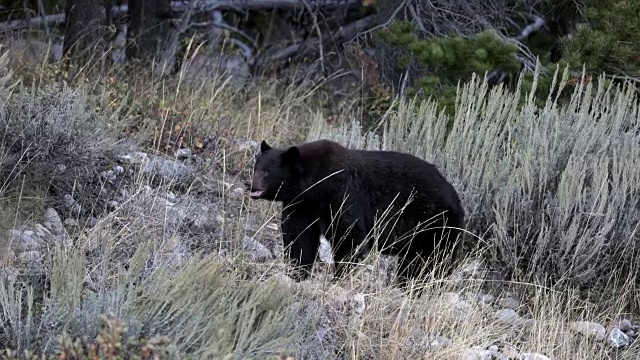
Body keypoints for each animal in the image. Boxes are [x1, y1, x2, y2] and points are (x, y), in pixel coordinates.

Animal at [250, 139, 464, 286]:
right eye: (255, 167)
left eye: (267, 171)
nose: (251, 186)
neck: (314, 185)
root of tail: (457, 199)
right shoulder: (301, 205)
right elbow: (299, 236)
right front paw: (296, 273)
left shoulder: (342, 193)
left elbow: (349, 234)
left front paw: (339, 277)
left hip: (434, 224)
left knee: (430, 262)